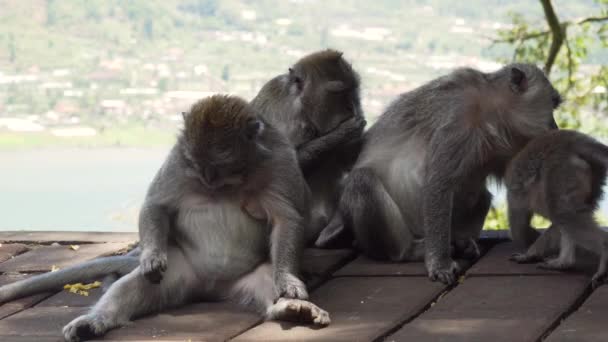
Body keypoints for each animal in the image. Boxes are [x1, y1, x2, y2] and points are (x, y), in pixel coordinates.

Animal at [0, 48, 366, 304]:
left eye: (354, 92)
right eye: (339, 92)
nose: (354, 108)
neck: (303, 111)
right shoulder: (281, 117)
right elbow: (294, 167)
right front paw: (344, 132)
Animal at [59, 95, 330, 342]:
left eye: (220, 163)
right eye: (195, 162)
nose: (207, 178)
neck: (231, 182)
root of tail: (212, 288)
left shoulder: (280, 162)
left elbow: (286, 219)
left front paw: (288, 281)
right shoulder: (177, 159)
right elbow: (157, 204)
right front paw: (151, 257)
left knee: (266, 277)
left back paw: (291, 309)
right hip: (180, 272)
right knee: (136, 284)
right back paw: (93, 321)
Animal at [504, 130, 608, 288]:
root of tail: (574, 143)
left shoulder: (514, 194)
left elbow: (518, 227)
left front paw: (528, 253)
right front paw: (535, 254)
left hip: (560, 172)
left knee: (563, 215)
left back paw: (604, 249)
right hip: (591, 176)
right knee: (566, 216)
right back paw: (564, 263)